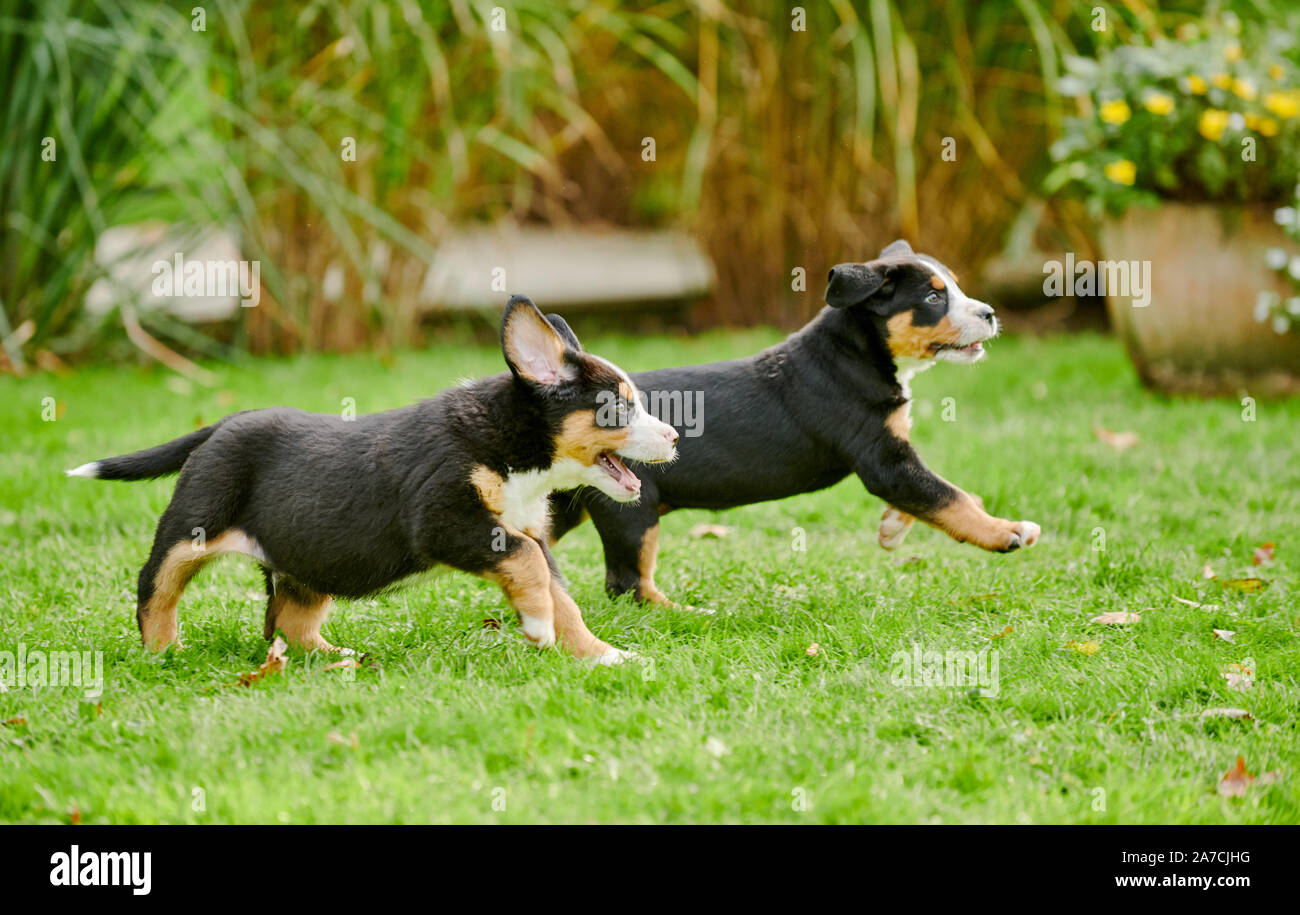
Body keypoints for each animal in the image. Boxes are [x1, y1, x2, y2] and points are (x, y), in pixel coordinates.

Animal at [68, 300, 681, 665]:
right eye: (619, 409)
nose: (675, 436)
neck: (514, 451)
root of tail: (224, 423)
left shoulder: (521, 529)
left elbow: (562, 597)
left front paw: (603, 655)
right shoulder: (446, 519)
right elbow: (529, 568)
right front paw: (536, 628)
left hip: (307, 559)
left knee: (287, 622)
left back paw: (337, 658)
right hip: (190, 528)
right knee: (155, 587)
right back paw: (163, 652)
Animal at [553, 239, 1040, 603]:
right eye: (934, 297)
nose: (990, 314)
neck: (855, 354)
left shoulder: (896, 459)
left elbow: (951, 494)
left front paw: (892, 528)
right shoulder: (883, 460)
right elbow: (949, 497)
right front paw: (1008, 531)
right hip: (631, 512)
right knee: (628, 585)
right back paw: (688, 614)